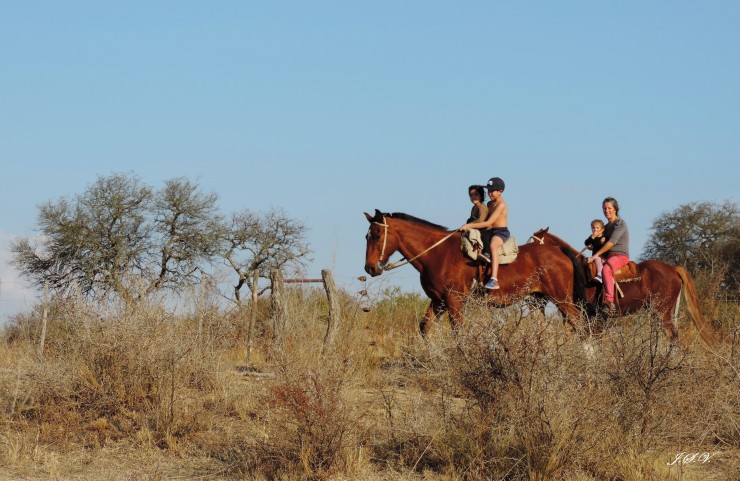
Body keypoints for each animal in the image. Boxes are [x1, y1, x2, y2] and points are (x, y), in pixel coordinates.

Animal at [362, 210, 584, 334]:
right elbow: (425, 327)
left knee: (580, 326)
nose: (369, 268)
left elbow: (458, 332)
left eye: (377, 234)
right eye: (367, 236)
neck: (436, 253)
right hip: (537, 301)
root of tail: (558, 251)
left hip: (562, 299)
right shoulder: (438, 301)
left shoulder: (454, 300)